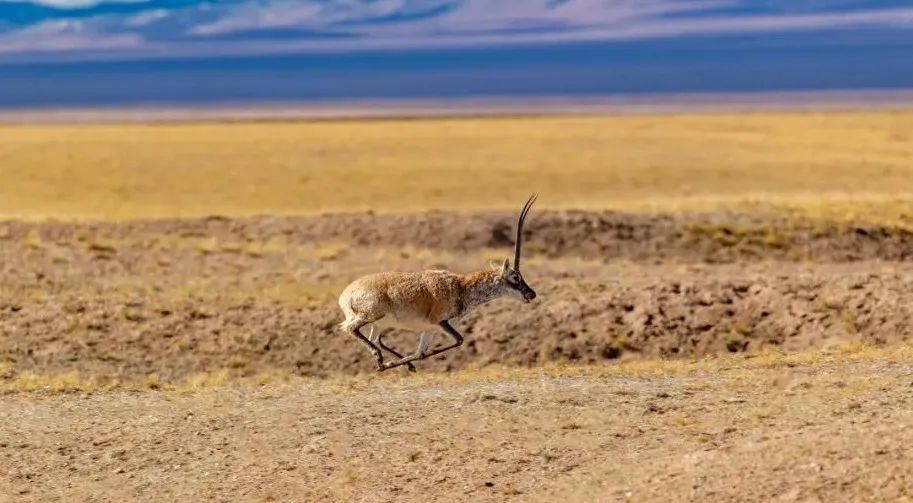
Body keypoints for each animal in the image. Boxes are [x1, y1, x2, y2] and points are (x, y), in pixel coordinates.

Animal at [338, 195, 536, 372]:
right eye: (515, 278)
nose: (531, 294)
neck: (460, 287)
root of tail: (346, 295)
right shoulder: (440, 322)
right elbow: (459, 340)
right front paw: (385, 365)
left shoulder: (430, 329)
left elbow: (420, 354)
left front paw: (394, 365)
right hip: (371, 315)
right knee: (350, 328)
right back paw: (379, 359)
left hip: (380, 324)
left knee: (375, 338)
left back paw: (393, 364)